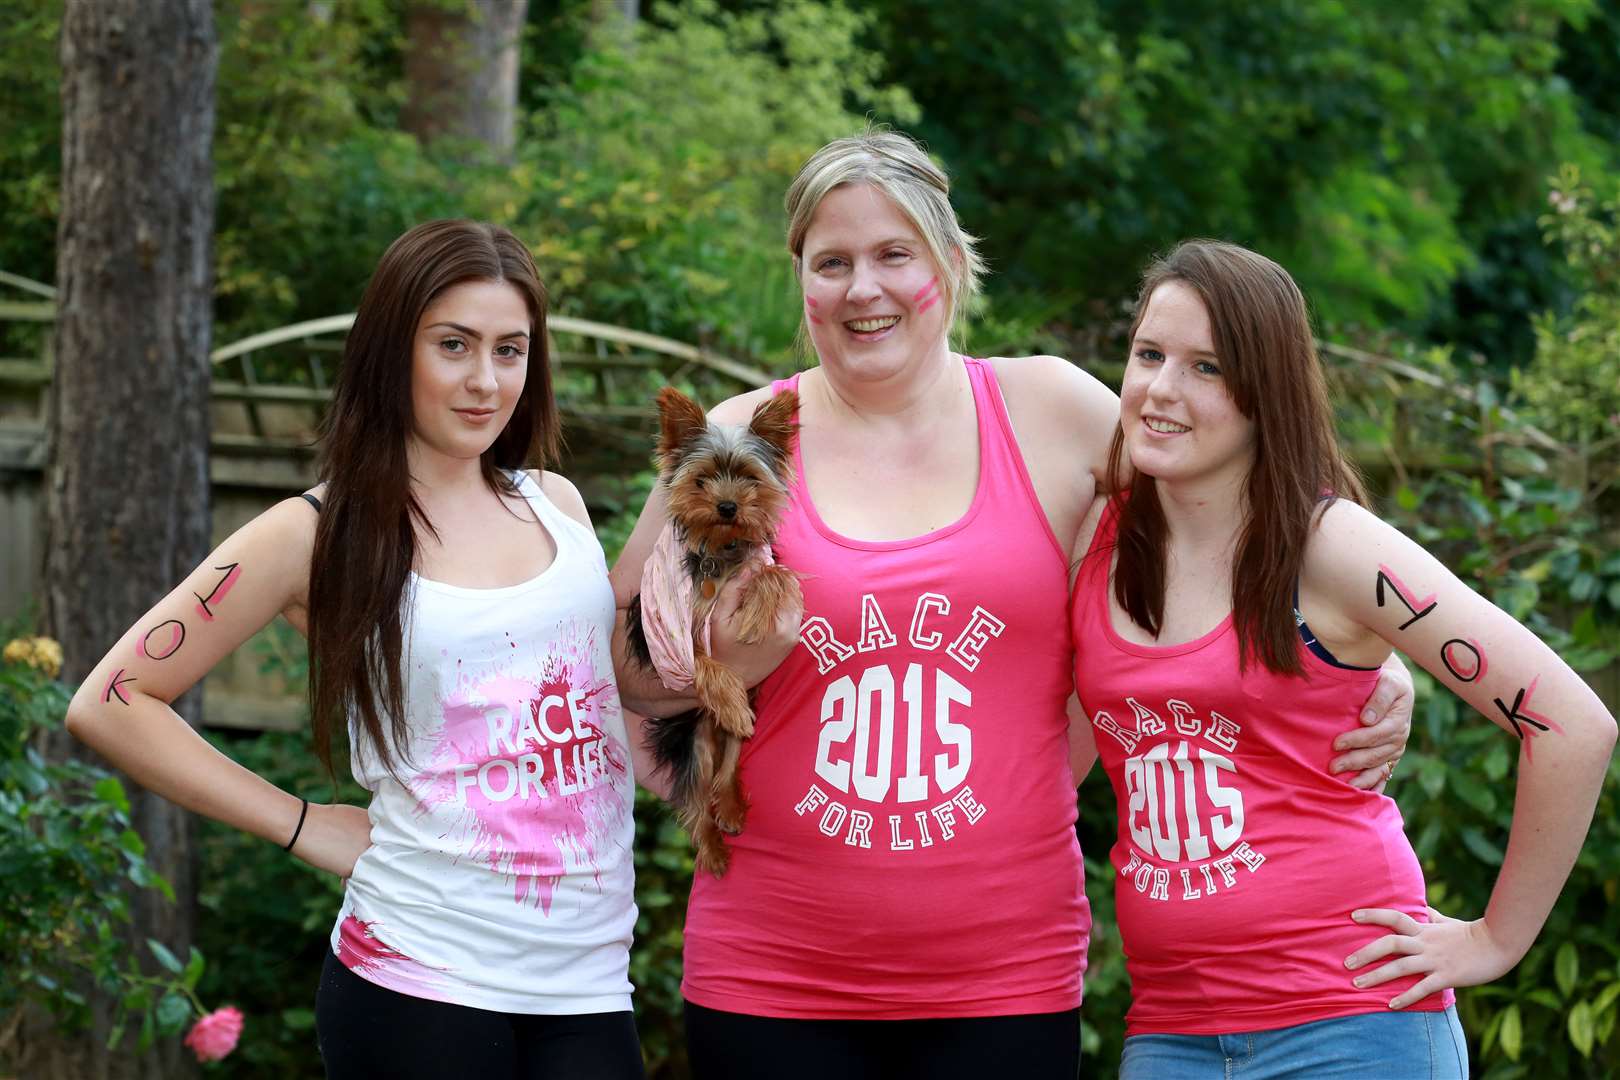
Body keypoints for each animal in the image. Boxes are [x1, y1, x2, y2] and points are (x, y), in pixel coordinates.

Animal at [625, 383, 803, 874]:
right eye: (701, 479)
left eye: (750, 478)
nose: (727, 506)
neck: (720, 553)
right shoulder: (656, 634)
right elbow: (701, 659)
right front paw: (723, 685)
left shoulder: (763, 560)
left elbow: (777, 575)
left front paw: (757, 614)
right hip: (693, 740)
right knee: (696, 796)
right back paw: (714, 848)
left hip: (733, 731)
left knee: (729, 762)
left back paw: (733, 808)